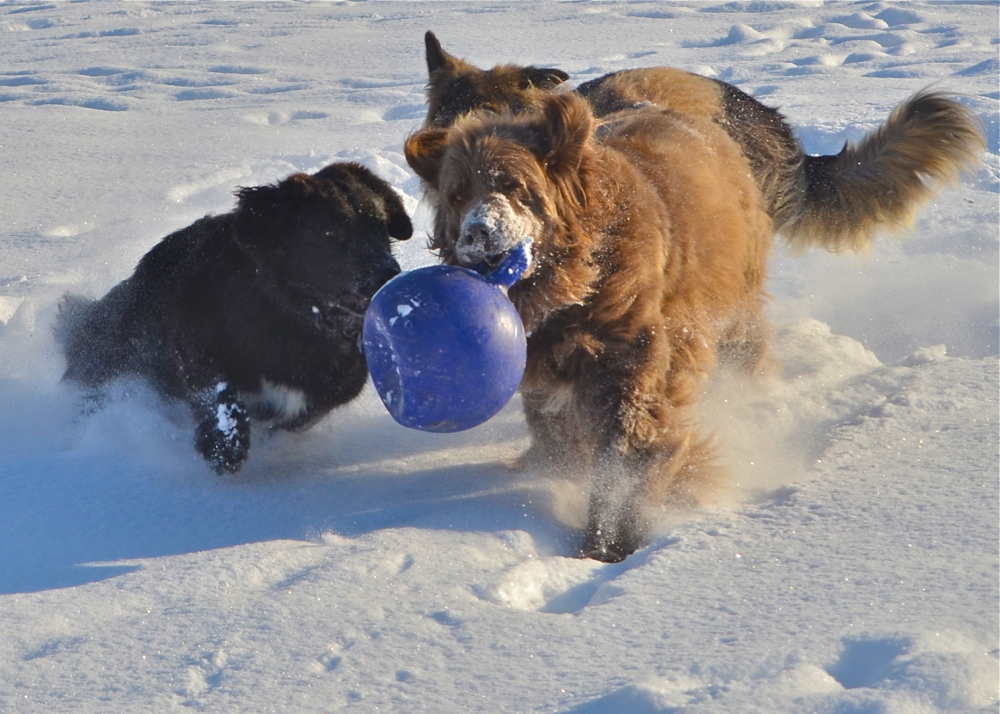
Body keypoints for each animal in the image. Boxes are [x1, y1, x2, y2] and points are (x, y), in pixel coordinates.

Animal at [57, 162, 412, 474]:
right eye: (330, 232)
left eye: (380, 226)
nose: (389, 272)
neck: (293, 316)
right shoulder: (192, 336)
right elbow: (219, 391)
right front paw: (224, 445)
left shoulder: (338, 385)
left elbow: (301, 414)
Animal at [405, 84, 983, 561]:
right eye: (457, 195)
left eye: (515, 186)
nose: (476, 236)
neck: (572, 282)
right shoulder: (548, 374)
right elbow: (562, 437)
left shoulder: (632, 361)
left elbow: (628, 449)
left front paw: (613, 537)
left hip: (735, 310)